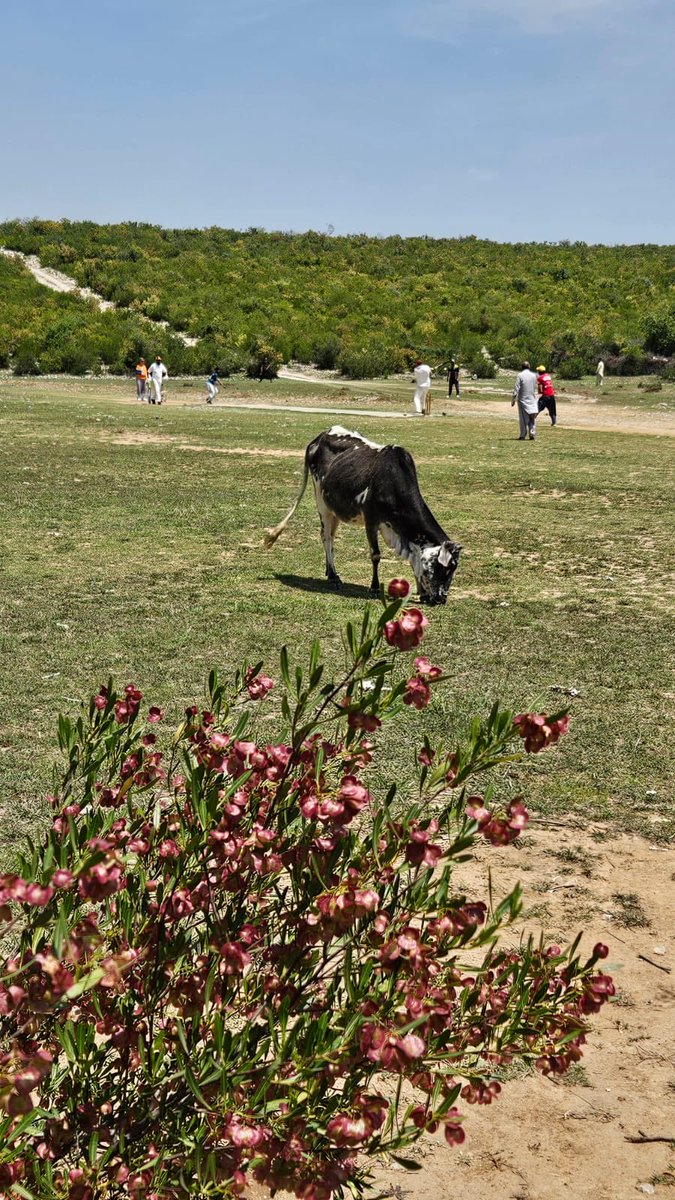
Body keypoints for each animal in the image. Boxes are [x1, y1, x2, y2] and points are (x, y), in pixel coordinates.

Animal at [260, 427, 458, 604]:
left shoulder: (400, 531)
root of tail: (320, 436)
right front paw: (374, 588)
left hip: (334, 509)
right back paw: (334, 576)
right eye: (443, 568)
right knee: (326, 537)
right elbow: (376, 555)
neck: (391, 480)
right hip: (321, 502)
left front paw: (421, 592)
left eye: (453, 568)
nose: (442, 599)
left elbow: (413, 559)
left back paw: (329, 572)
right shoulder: (371, 520)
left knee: (329, 536)